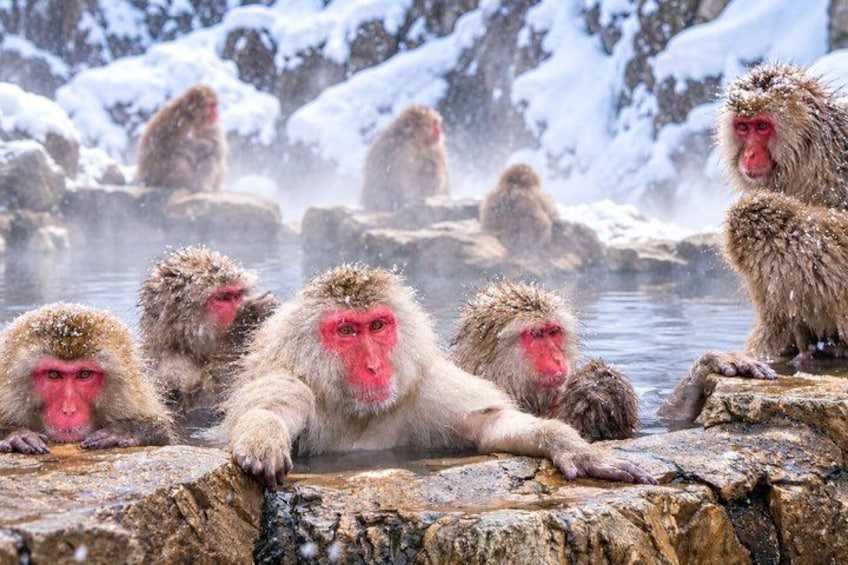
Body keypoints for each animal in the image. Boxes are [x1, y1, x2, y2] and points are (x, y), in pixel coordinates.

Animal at [138, 246, 279, 421]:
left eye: (238, 294)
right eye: (223, 298)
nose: (240, 304)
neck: (181, 348)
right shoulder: (172, 372)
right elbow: (211, 400)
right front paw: (249, 317)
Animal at [218, 265, 656, 490]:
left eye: (377, 325)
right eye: (346, 331)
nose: (374, 365)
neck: (359, 413)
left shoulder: (426, 391)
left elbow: (491, 423)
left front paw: (573, 446)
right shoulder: (290, 380)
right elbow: (271, 407)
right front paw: (263, 436)